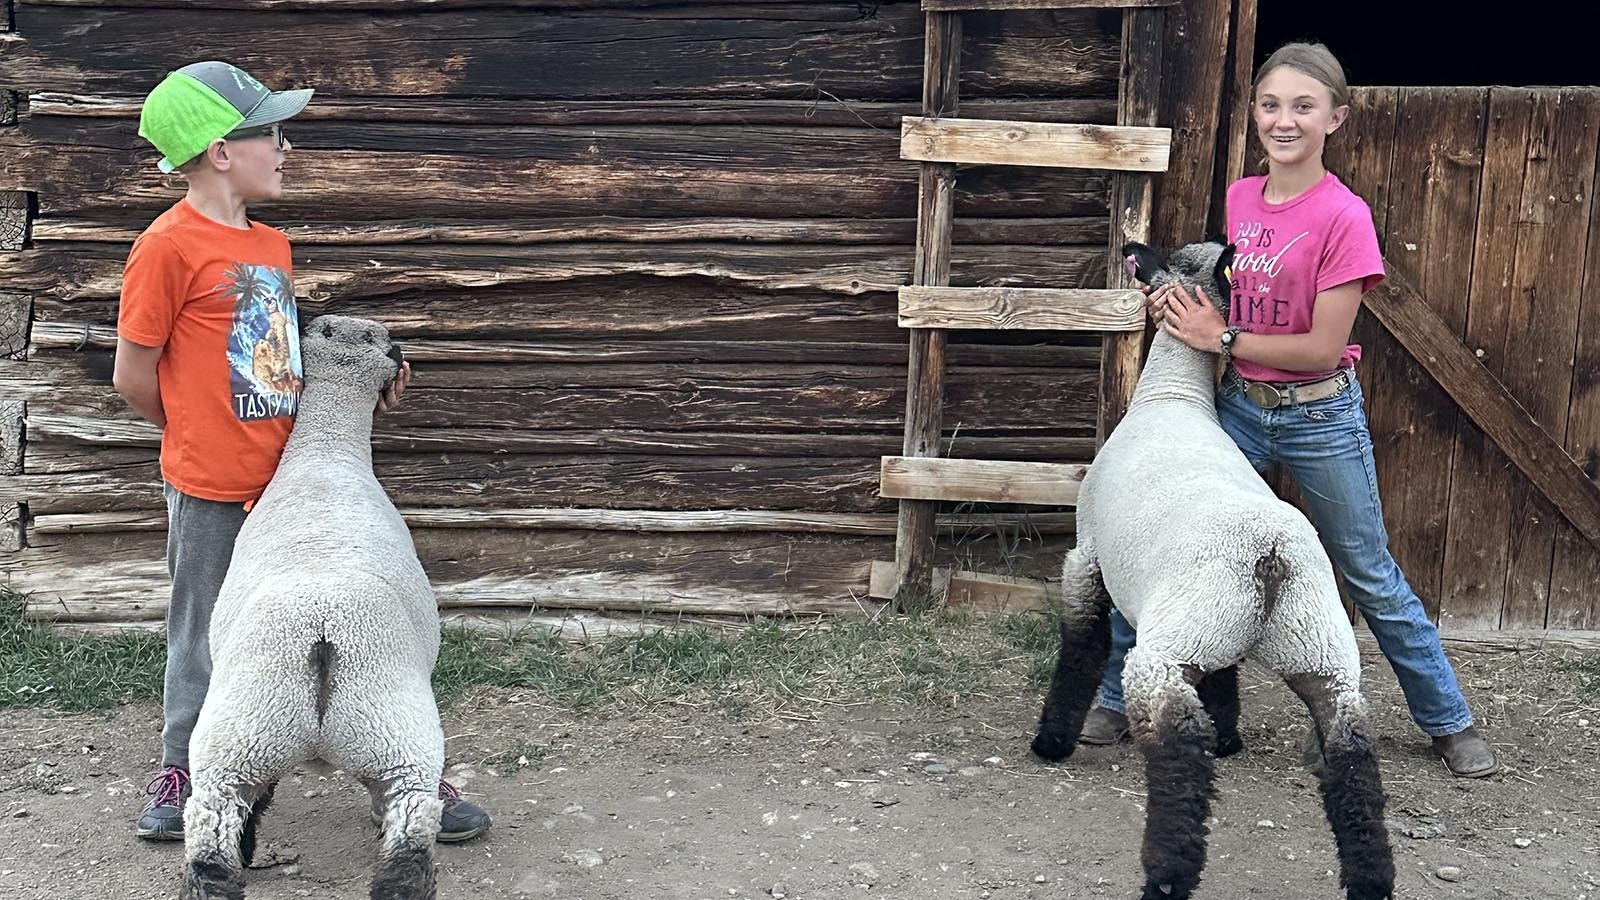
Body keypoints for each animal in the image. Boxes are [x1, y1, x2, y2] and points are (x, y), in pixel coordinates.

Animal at [182, 313, 444, 896]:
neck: (326, 454)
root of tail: (323, 635)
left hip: (243, 736)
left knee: (215, 824)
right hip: (396, 739)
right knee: (410, 832)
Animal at [1030, 240, 1395, 896]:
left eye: (1170, 255)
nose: (1132, 250)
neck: (1172, 396)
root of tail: (1269, 554)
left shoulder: (1085, 558)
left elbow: (1081, 647)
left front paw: (1051, 740)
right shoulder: (1214, 641)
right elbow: (1224, 677)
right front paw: (1230, 736)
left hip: (1170, 648)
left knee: (1181, 748)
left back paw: (1167, 875)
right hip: (1317, 651)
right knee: (1352, 753)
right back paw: (1371, 880)